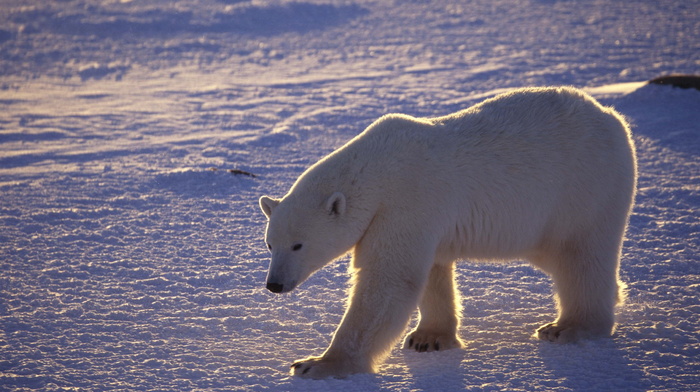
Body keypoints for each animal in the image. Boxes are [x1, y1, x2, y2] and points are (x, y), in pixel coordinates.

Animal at [260, 87, 636, 378]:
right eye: (269, 244)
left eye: (298, 245)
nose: (274, 285)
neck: (376, 171)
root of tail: (613, 118)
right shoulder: (422, 218)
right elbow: (431, 272)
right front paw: (428, 339)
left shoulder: (407, 201)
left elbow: (388, 280)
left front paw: (316, 364)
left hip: (583, 188)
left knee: (580, 257)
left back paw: (568, 327)